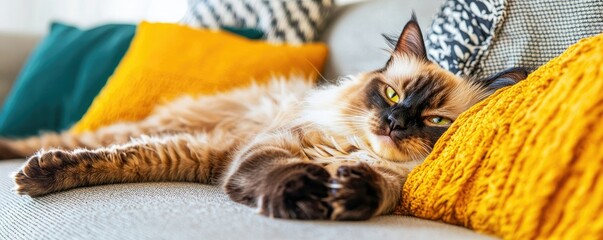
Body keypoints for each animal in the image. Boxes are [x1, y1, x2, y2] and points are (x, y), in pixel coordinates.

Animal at [1, 15, 528, 220]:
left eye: (435, 121)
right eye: (392, 93)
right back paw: (24, 165)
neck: (349, 149)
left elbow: (377, 191)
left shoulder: (207, 160)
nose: (396, 123)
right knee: (72, 139)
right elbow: (281, 172)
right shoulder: (267, 149)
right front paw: (303, 195)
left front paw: (347, 193)